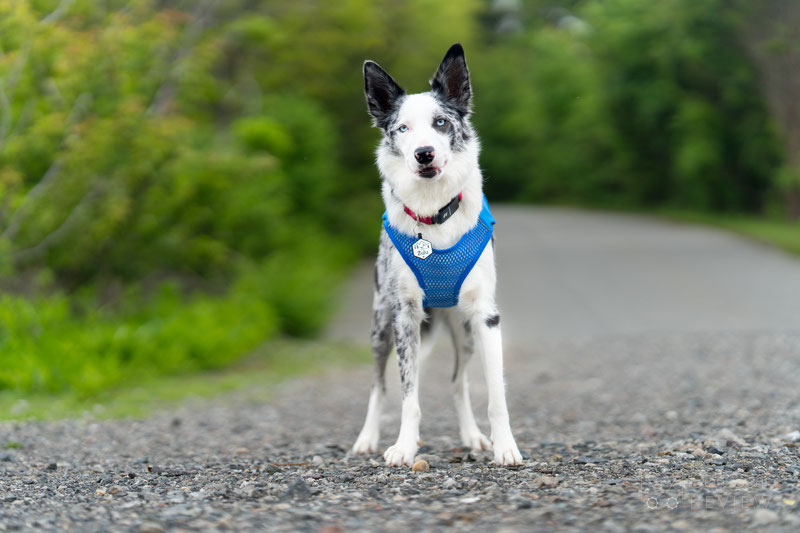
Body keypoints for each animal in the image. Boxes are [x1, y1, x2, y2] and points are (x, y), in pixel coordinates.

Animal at [352, 43, 524, 464]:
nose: (424, 154)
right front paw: (403, 446)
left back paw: (473, 436)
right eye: (402, 128)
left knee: (458, 383)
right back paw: (368, 438)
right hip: (381, 327)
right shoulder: (405, 316)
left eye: (441, 122)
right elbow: (408, 396)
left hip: (463, 331)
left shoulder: (486, 316)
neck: (434, 214)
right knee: (381, 386)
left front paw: (505, 446)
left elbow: (496, 394)